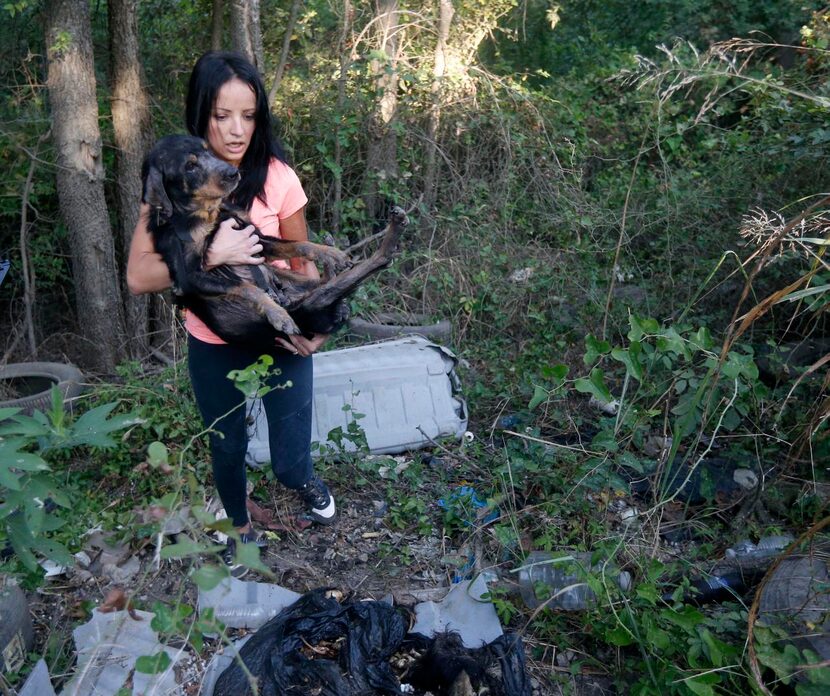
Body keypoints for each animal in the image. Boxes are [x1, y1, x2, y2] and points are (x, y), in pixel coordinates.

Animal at [143, 135, 410, 346]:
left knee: (332, 277)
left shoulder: (256, 237)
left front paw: (328, 252)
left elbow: (298, 244)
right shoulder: (190, 277)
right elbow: (247, 287)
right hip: (314, 303)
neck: (210, 213)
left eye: (208, 150)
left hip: (302, 283)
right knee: (375, 263)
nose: (233, 173)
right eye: (190, 166)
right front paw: (277, 314)